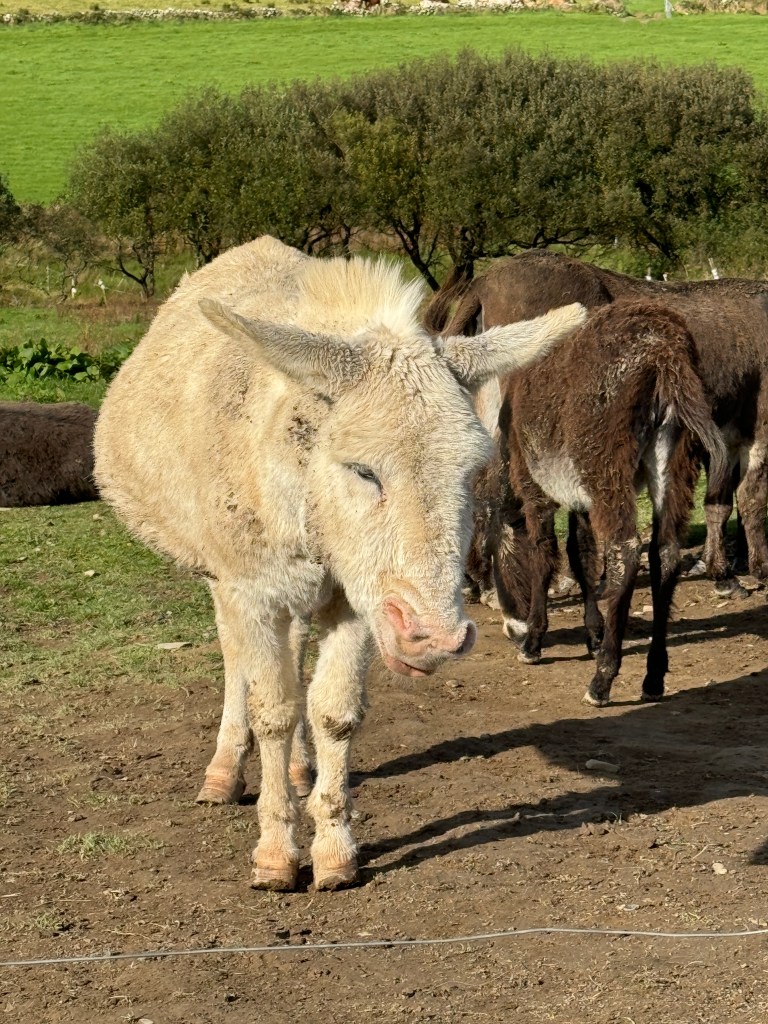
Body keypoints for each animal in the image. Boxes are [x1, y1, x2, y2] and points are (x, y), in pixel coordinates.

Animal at [94, 236, 586, 891]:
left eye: (473, 471)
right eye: (363, 470)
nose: (435, 639)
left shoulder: (353, 601)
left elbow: (333, 713)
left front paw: (333, 849)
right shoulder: (251, 589)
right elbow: (272, 710)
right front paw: (276, 853)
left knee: (294, 652)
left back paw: (299, 769)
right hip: (222, 577)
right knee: (237, 660)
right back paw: (226, 769)